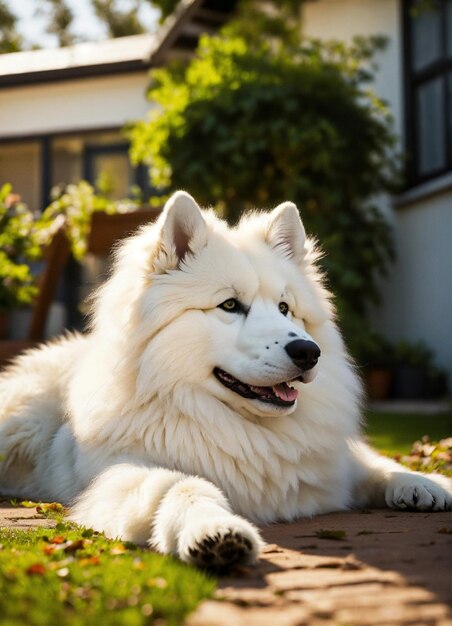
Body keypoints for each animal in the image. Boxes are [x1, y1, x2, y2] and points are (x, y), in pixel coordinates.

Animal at [0, 193, 450, 568]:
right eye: (230, 305)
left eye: (285, 308)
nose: (308, 352)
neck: (241, 427)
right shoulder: (120, 474)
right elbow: (179, 485)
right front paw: (214, 531)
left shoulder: (331, 468)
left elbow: (373, 464)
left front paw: (423, 482)